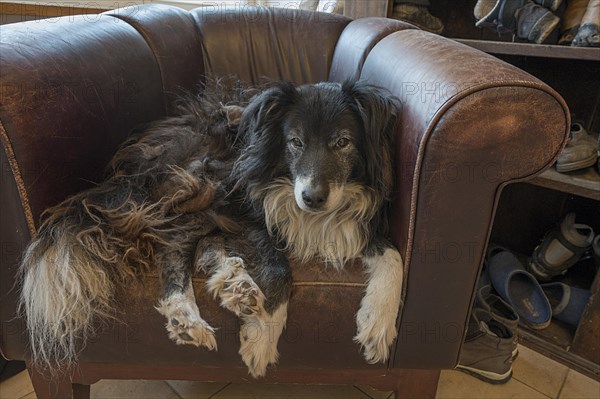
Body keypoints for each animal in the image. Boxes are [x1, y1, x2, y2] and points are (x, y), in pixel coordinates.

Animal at [18, 77, 404, 378]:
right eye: (295, 142)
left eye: (342, 142)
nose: (311, 199)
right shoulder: (242, 206)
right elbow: (278, 267)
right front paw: (263, 337)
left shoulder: (360, 221)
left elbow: (394, 255)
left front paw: (378, 324)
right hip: (203, 180)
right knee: (173, 245)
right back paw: (186, 314)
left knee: (202, 245)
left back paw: (236, 285)